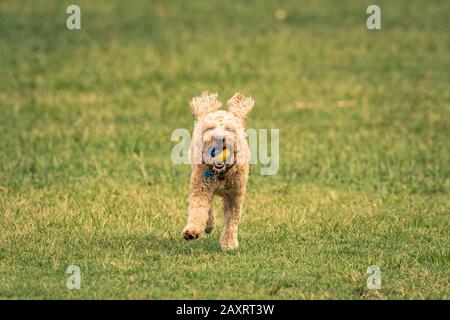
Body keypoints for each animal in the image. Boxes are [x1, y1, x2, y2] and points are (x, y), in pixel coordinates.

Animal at [182, 91, 253, 249]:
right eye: (209, 129)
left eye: (229, 129)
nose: (220, 138)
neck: (222, 172)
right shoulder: (200, 188)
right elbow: (198, 209)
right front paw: (192, 231)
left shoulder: (234, 196)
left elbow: (232, 220)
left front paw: (229, 243)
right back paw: (208, 225)